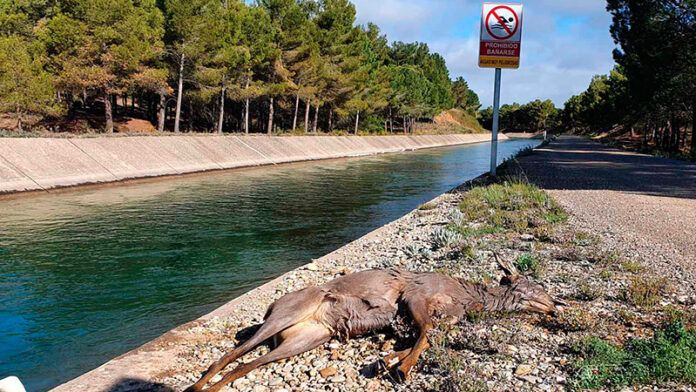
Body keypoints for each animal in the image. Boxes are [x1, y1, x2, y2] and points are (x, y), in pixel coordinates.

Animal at [186, 254, 564, 392]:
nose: (556, 306)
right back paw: (197, 385)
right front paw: (401, 368)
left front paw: (388, 362)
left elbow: (424, 336)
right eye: (536, 288)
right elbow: (425, 332)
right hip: (287, 313)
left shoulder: (436, 317)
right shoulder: (415, 295)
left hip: (309, 337)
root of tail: (271, 305)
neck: (465, 297)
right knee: (229, 355)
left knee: (247, 364)